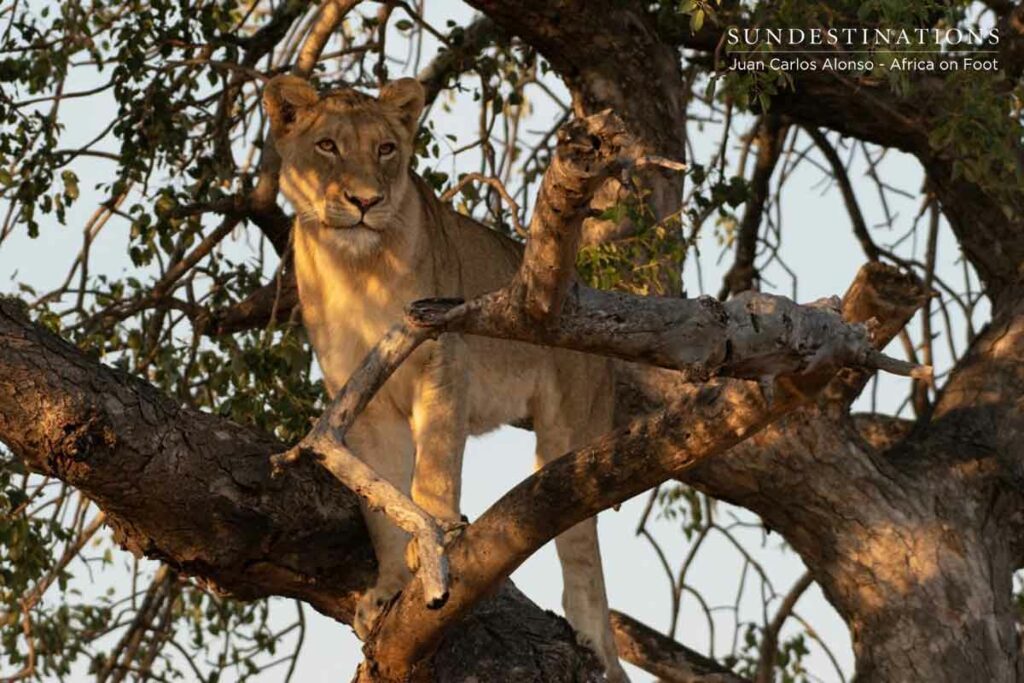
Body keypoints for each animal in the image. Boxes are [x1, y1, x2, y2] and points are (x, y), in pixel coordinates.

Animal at [263, 74, 627, 681]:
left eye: (386, 149)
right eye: (328, 147)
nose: (366, 201)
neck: (354, 266)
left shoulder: (441, 356)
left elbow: (432, 469)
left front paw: (434, 543)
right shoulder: (360, 400)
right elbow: (380, 504)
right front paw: (389, 587)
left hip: (568, 430)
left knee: (581, 546)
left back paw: (593, 645)